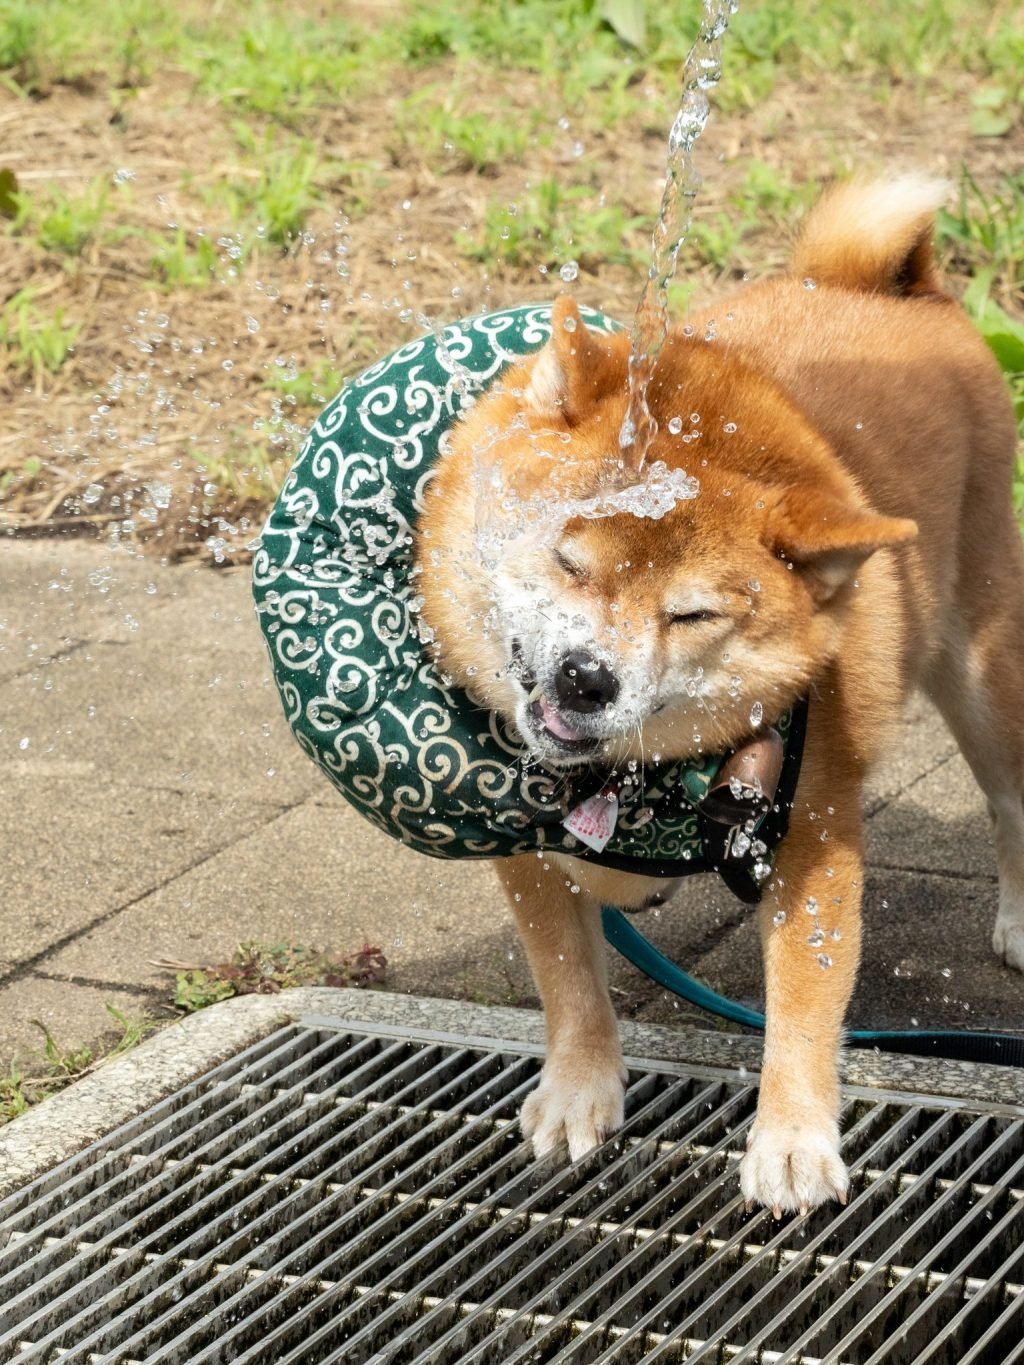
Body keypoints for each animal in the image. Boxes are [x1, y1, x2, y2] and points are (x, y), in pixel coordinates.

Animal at [417, 181, 1024, 1217]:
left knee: (1011, 796)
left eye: (691, 612)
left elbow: (805, 999)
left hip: (980, 664)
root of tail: (885, 284)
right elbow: (566, 974)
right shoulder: (527, 851)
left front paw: (793, 1138)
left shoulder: (813, 833)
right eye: (568, 558)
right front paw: (579, 1087)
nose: (586, 677)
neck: (632, 778)